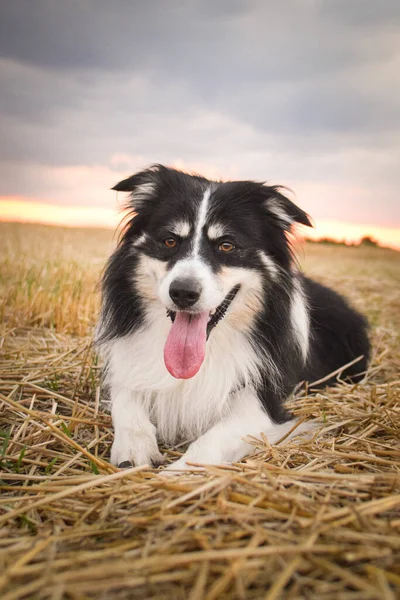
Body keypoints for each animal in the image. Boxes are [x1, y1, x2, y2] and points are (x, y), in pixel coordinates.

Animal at [95, 166, 370, 472]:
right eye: (169, 241)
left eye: (226, 245)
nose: (183, 293)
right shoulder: (128, 367)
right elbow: (126, 400)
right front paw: (134, 448)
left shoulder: (262, 402)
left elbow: (210, 441)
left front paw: (177, 473)